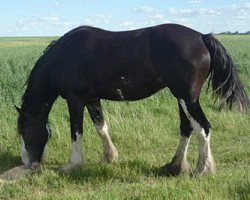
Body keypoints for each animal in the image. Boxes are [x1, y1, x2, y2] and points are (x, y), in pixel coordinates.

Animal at [15, 23, 248, 175]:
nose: (28, 163)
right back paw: (175, 166)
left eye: (23, 130)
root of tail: (202, 37)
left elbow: (76, 131)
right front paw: (110, 157)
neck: (64, 55)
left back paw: (202, 170)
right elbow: (101, 127)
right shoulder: (92, 99)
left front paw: (73, 165)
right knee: (186, 128)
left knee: (203, 128)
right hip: (182, 98)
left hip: (187, 98)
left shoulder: (75, 99)